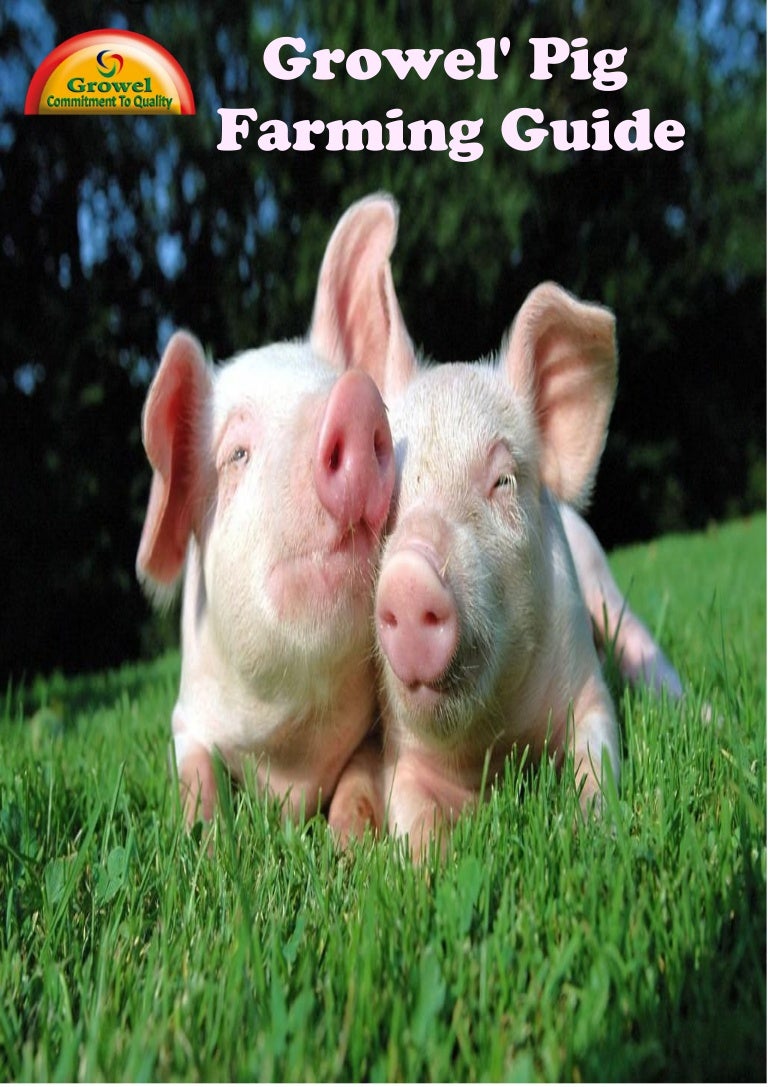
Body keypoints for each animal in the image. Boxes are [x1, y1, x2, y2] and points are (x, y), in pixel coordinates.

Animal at [136, 196, 406, 830]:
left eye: (346, 387)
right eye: (236, 453)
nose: (356, 399)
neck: (288, 751)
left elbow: (358, 784)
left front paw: (352, 846)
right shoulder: (184, 718)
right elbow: (197, 779)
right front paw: (204, 842)